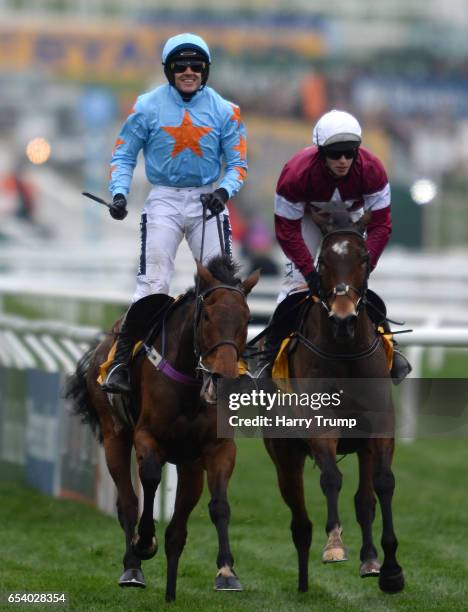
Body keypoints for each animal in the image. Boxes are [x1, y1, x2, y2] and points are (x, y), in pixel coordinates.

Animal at [65, 256, 260, 604]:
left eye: (247, 317)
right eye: (206, 315)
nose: (224, 378)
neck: (191, 381)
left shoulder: (218, 447)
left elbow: (219, 505)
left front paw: (227, 572)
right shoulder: (147, 437)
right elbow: (151, 479)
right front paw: (144, 542)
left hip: (189, 463)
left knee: (177, 528)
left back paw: (170, 588)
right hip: (114, 436)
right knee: (128, 502)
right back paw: (132, 566)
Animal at [266, 213, 404, 596]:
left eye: (363, 258)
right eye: (324, 262)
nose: (344, 319)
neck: (344, 351)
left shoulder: (379, 424)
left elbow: (382, 484)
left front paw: (390, 569)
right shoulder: (319, 422)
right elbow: (331, 477)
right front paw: (335, 546)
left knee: (364, 501)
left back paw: (369, 560)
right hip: (284, 455)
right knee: (299, 520)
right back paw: (302, 583)